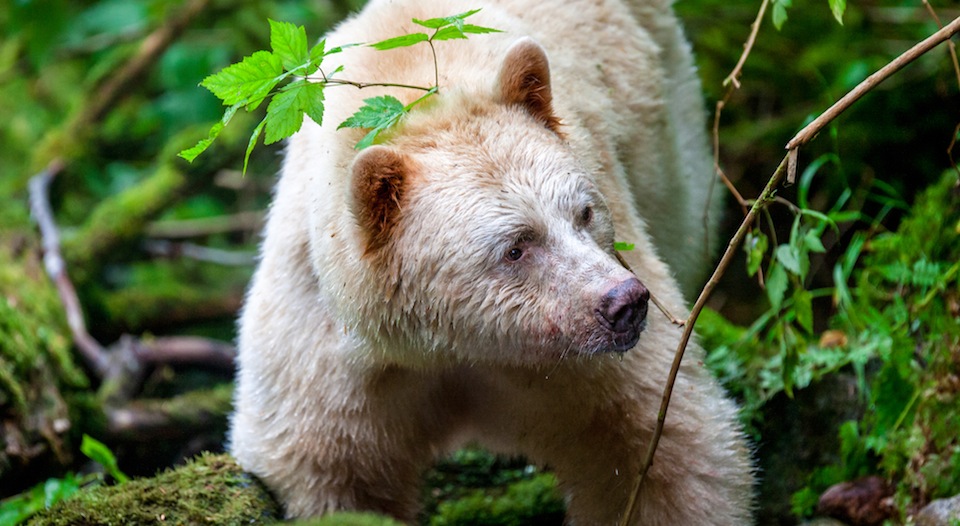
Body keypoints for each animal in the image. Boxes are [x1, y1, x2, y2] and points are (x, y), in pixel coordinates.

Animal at [229, 0, 752, 524]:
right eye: (516, 247)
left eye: (584, 212)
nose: (625, 302)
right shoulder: (333, 355)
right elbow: (332, 472)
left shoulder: (587, 362)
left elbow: (663, 440)